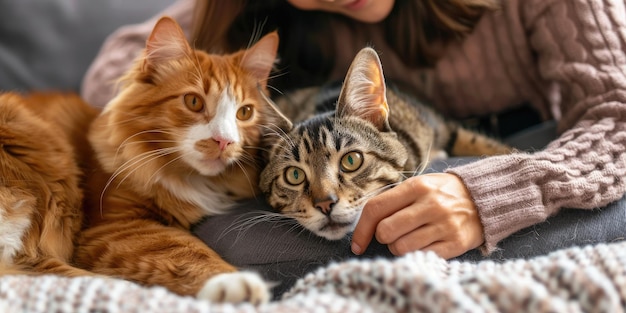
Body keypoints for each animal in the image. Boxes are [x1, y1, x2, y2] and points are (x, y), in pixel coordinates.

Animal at [73, 16, 290, 302]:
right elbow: (184, 249)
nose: (224, 141)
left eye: (244, 112)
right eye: (194, 102)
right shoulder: (115, 224)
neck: (189, 179)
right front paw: (232, 281)